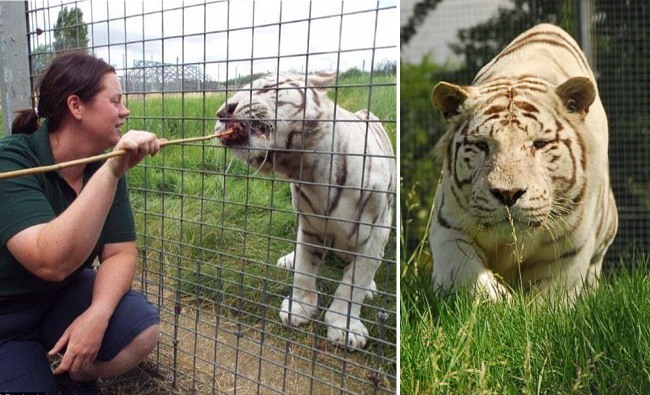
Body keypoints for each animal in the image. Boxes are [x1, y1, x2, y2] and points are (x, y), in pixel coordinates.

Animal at [215, 72, 392, 350]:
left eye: (267, 87)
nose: (223, 112)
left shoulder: (377, 230)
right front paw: (298, 309)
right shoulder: (310, 223)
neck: (307, 168)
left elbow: (355, 282)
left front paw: (345, 329)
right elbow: (304, 268)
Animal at [428, 24, 616, 304]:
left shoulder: (569, 250)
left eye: (539, 144)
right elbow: (470, 280)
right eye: (482, 145)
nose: (508, 194)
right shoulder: (449, 226)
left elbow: (549, 300)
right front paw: (502, 306)